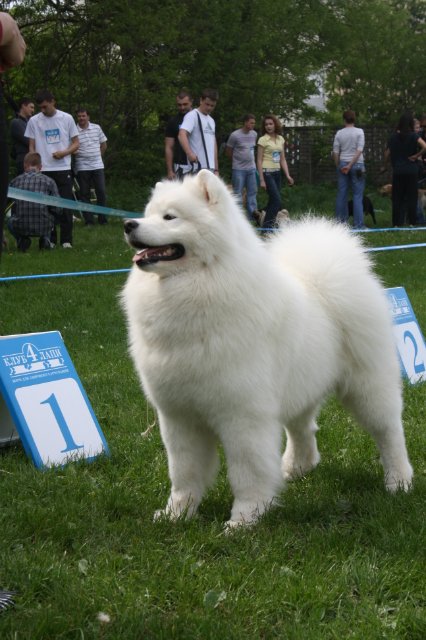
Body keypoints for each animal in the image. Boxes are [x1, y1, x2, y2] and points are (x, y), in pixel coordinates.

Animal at [121, 169, 414, 524]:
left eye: (169, 217)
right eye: (147, 213)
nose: (128, 224)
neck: (199, 286)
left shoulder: (243, 414)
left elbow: (246, 471)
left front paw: (245, 518)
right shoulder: (179, 416)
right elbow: (184, 473)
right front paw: (176, 515)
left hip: (367, 386)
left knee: (389, 431)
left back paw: (399, 481)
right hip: (300, 386)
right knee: (303, 428)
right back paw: (297, 467)